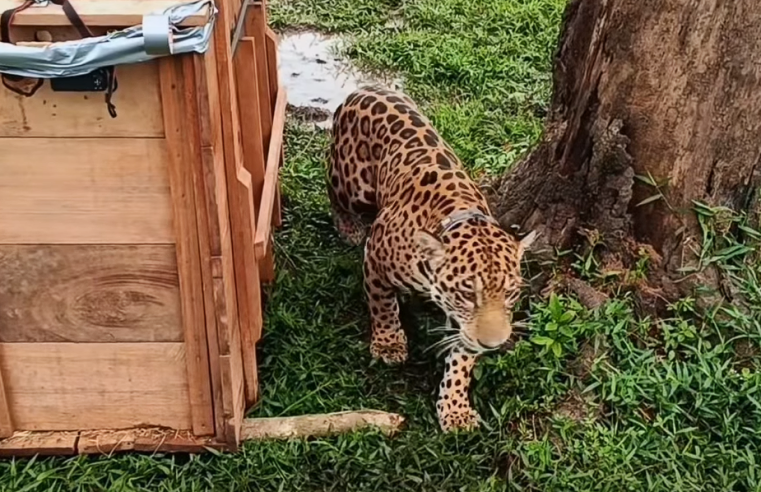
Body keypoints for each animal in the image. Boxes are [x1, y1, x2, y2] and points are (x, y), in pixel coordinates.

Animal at [327, 86, 535, 432]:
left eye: (510, 293)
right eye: (467, 293)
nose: (493, 345)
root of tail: (365, 89)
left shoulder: (465, 325)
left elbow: (462, 359)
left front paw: (455, 408)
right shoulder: (376, 257)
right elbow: (382, 304)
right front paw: (389, 343)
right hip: (351, 183)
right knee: (332, 191)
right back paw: (348, 227)